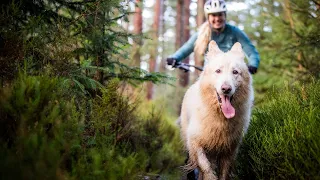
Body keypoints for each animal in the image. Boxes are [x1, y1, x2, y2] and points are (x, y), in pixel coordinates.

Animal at [180, 40, 252, 179]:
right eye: (218, 71)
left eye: (235, 72)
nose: (226, 89)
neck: (220, 118)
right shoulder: (195, 143)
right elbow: (205, 166)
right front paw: (209, 176)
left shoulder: (229, 151)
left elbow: (223, 173)